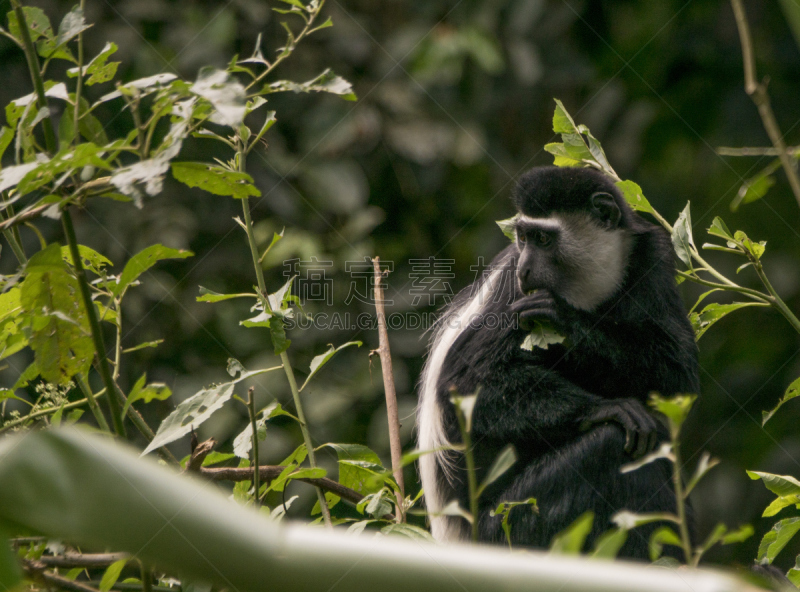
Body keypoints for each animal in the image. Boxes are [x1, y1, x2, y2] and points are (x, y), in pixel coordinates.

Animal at [418, 166, 700, 560]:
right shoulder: (513, 297)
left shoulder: (652, 257)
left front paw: (563, 320)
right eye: (523, 237)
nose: (525, 268)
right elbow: (467, 383)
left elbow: (677, 370)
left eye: (543, 239)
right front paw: (604, 408)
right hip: (509, 522)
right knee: (609, 446)